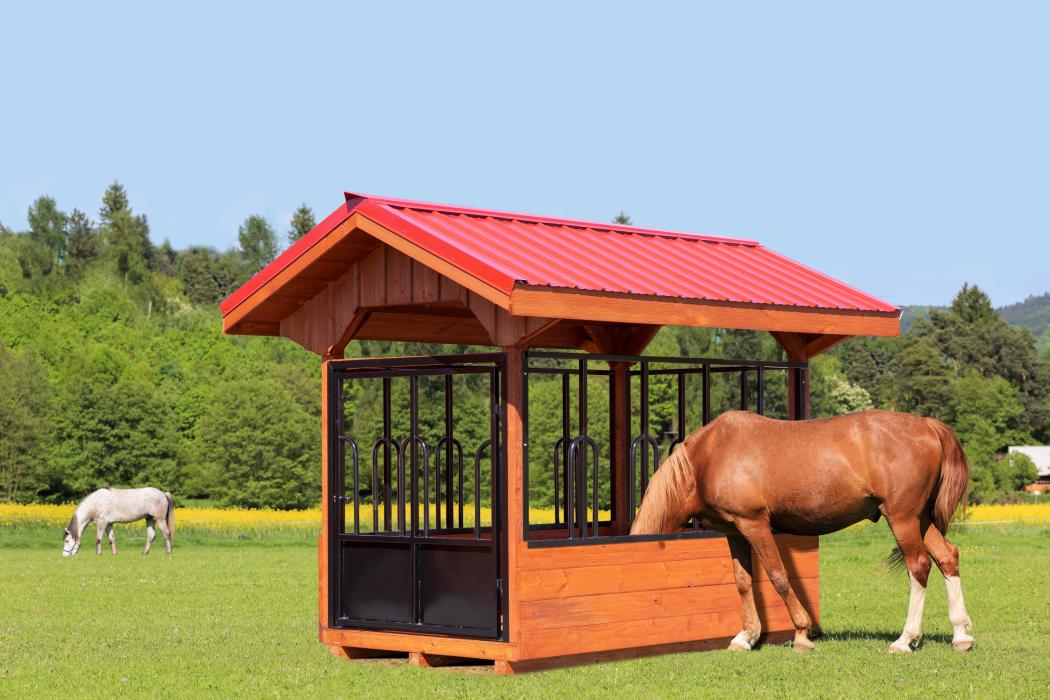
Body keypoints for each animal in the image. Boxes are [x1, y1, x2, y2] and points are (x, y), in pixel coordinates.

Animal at [625, 411, 970, 659]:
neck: (710, 457)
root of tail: (927, 425)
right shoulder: (734, 532)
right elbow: (743, 581)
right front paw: (746, 637)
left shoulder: (755, 525)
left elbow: (778, 576)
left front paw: (802, 634)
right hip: (920, 519)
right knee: (947, 558)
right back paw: (962, 635)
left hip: (902, 519)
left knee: (919, 566)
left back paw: (905, 640)